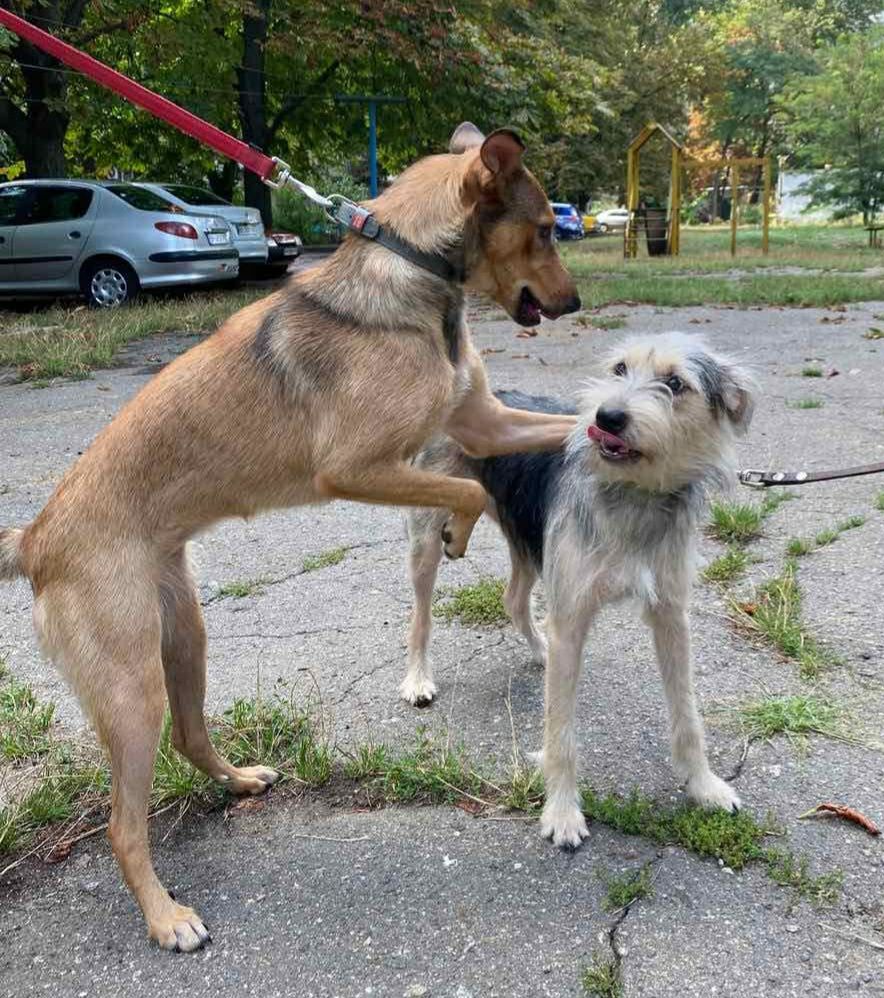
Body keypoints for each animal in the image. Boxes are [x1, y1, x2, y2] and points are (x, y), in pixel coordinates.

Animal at [0, 125, 584, 952]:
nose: (576, 303)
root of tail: (35, 539)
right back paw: (165, 917)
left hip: (183, 638)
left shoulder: (485, 423)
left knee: (191, 738)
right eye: (542, 230)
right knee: (122, 825)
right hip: (131, 688)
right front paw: (455, 532)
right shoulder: (359, 468)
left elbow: (568, 425)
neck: (411, 272)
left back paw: (241, 782)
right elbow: (467, 490)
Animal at [400, 332, 752, 848]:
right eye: (620, 368)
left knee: (513, 598)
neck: (633, 494)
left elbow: (687, 715)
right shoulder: (571, 613)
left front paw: (703, 786)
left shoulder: (671, 615)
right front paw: (562, 812)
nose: (607, 417)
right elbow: (560, 733)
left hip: (529, 540)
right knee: (421, 612)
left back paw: (538, 649)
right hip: (429, 536)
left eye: (675, 384)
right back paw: (418, 678)